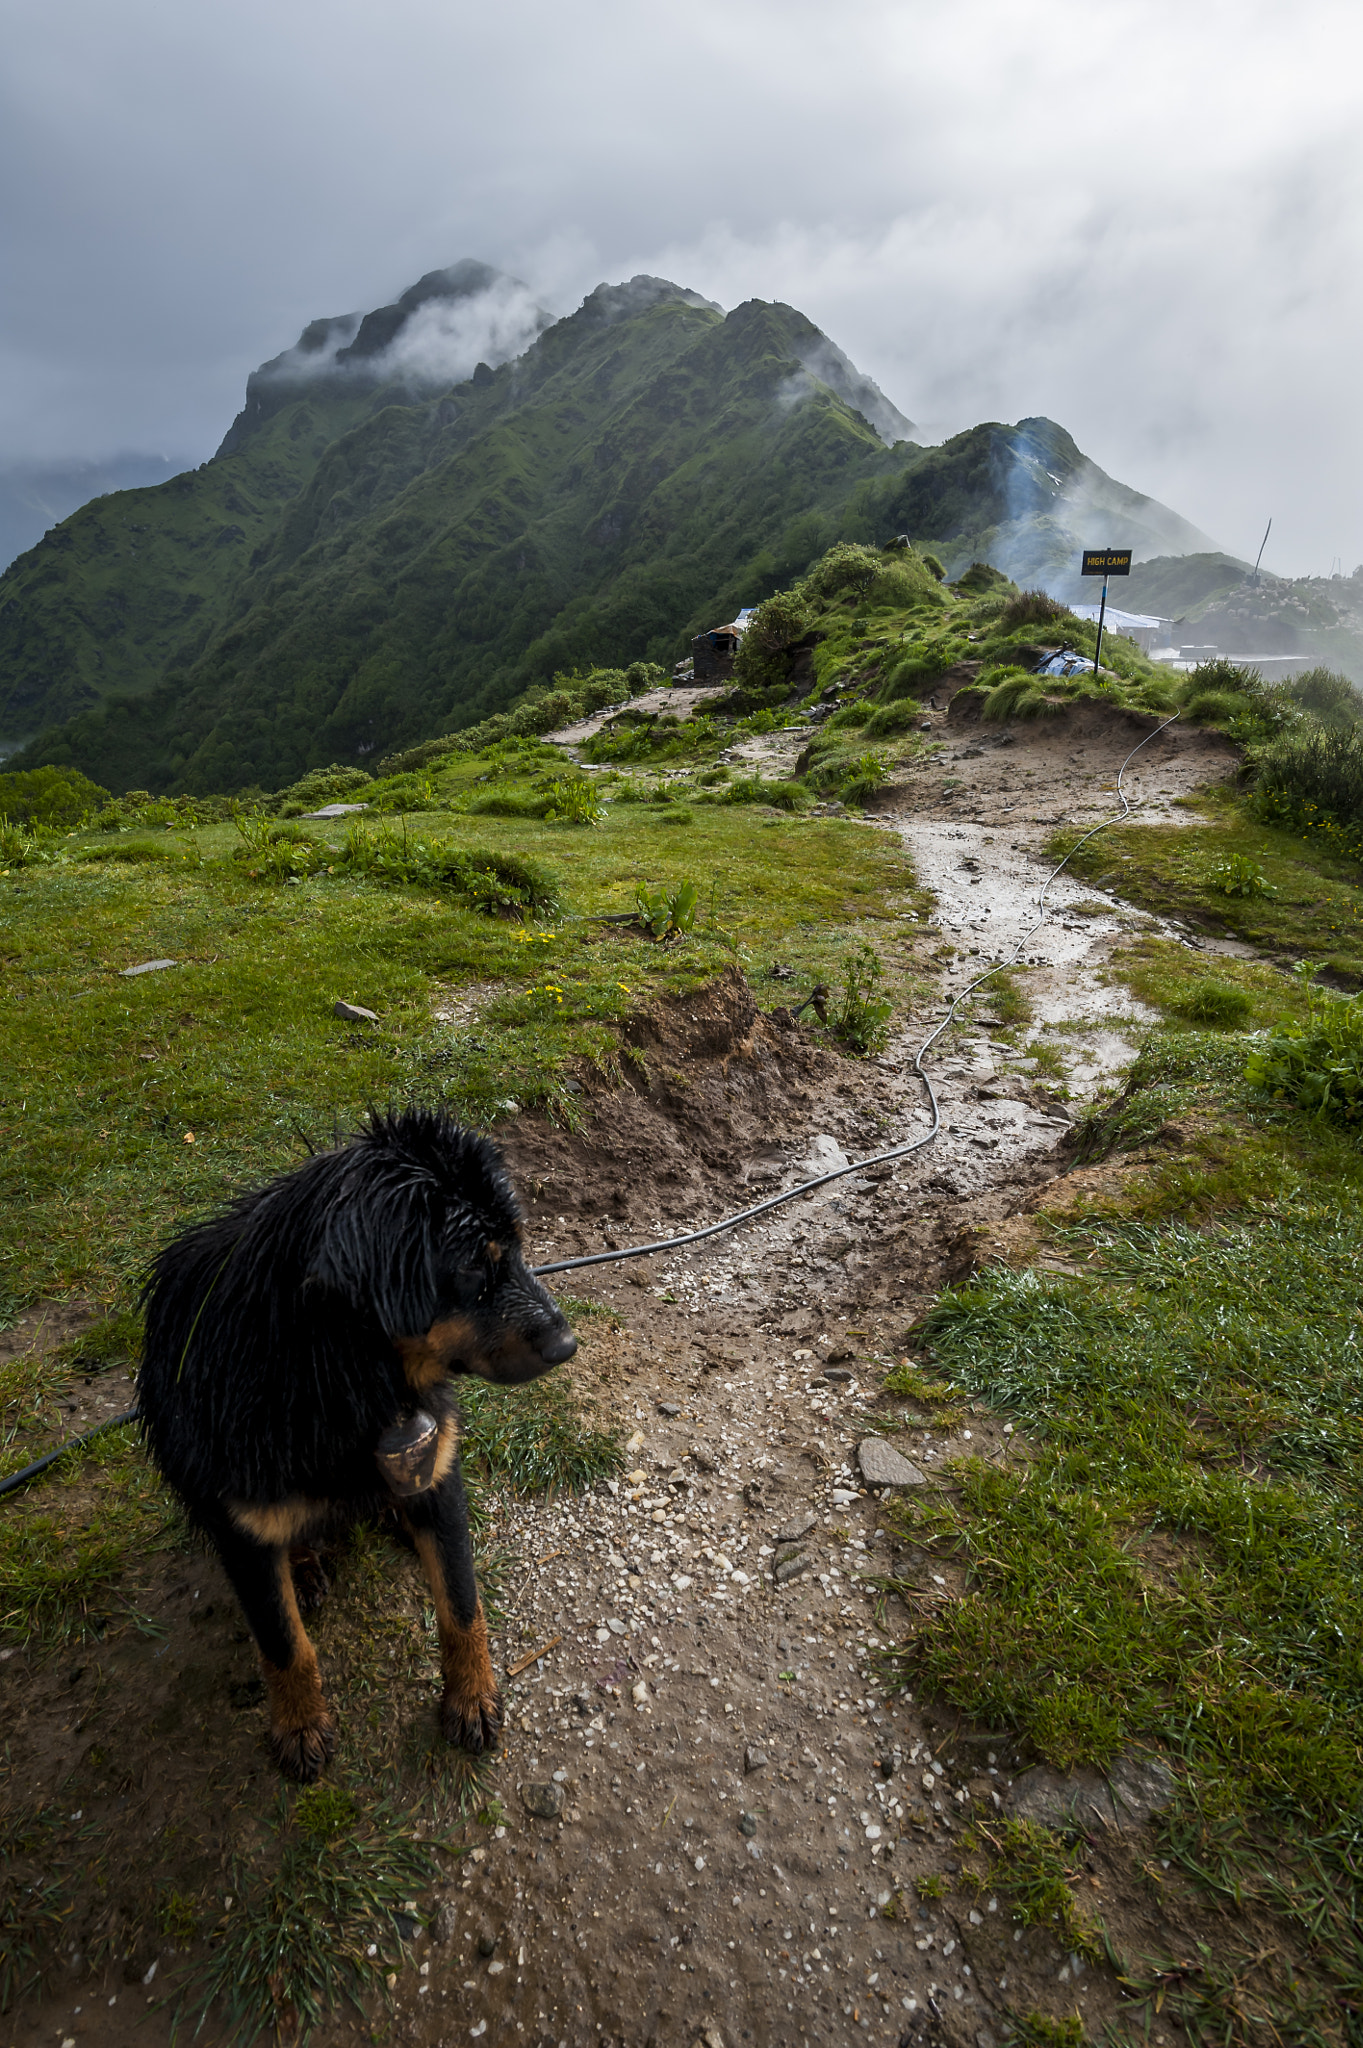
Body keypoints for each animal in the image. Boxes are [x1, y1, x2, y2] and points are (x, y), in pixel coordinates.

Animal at [140, 1105, 577, 1777]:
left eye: (519, 1249)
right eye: (471, 1269)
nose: (567, 1344)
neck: (334, 1376)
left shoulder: (438, 1471)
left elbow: (462, 1606)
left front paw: (472, 1696)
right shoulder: (239, 1527)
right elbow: (285, 1645)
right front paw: (299, 1725)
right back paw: (303, 1564)